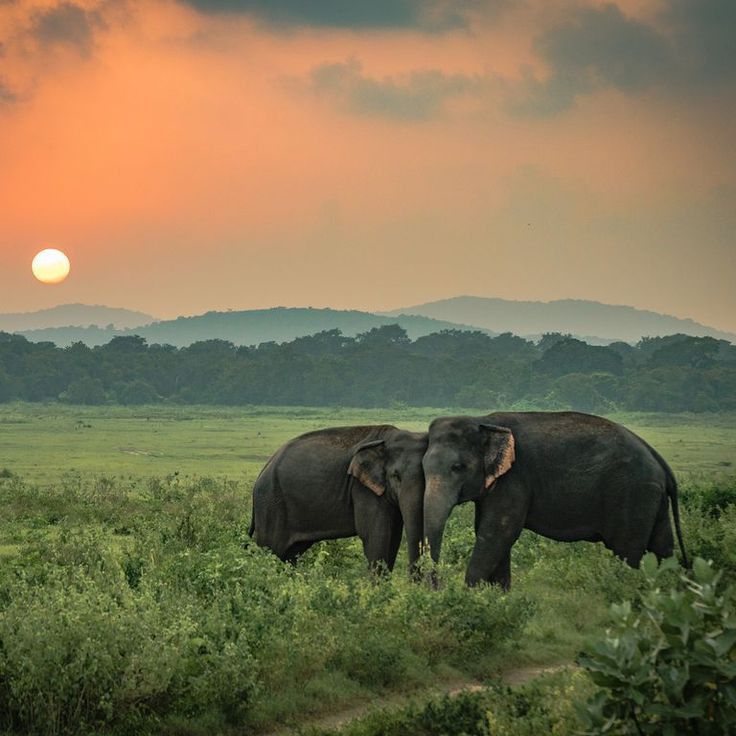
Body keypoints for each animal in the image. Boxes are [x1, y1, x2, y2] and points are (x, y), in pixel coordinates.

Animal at [250, 422, 428, 572]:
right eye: (396, 476)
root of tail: (262, 472)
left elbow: (394, 536)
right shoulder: (362, 489)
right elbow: (376, 535)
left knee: (290, 554)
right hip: (270, 504)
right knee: (271, 549)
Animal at [422, 412, 688, 588]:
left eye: (458, 467)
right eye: (423, 467)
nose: (438, 587)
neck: (482, 420)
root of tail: (658, 459)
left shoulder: (515, 479)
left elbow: (497, 533)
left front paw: (470, 595)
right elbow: (491, 533)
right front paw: (497, 597)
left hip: (632, 495)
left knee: (627, 551)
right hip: (651, 497)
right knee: (662, 547)